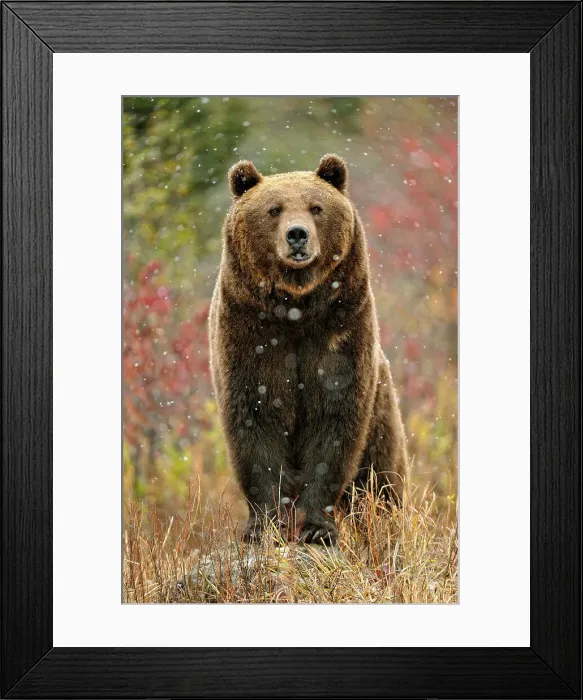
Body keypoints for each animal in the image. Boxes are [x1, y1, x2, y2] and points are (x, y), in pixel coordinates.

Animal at [209, 154, 408, 544]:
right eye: (274, 209)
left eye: (316, 207)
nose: (297, 234)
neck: (296, 308)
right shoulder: (248, 336)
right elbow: (255, 425)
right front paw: (264, 526)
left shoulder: (340, 332)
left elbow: (334, 423)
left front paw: (317, 528)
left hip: (384, 422)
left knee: (381, 482)